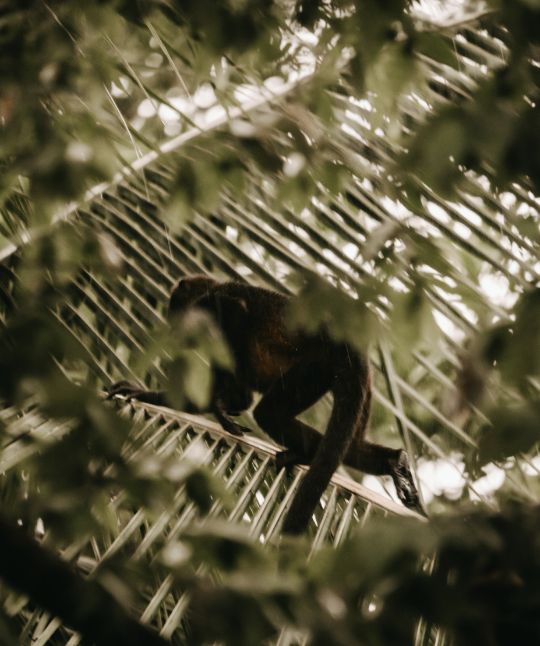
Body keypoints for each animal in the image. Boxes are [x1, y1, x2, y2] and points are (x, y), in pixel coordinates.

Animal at [107, 275, 424, 534]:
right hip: (362, 385)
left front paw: (225, 408)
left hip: (317, 367)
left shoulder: (217, 307)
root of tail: (349, 345)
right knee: (353, 443)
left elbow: (237, 320)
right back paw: (394, 462)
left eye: (178, 313)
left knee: (270, 413)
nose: (179, 332)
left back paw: (305, 454)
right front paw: (142, 393)